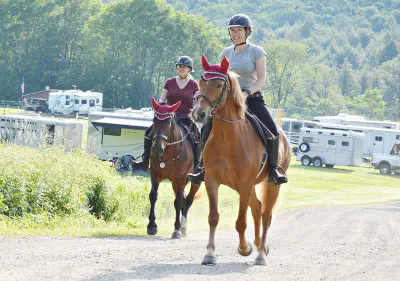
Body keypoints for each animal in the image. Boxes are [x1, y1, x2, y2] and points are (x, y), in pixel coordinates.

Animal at [148, 97, 200, 237]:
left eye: (168, 122)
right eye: (154, 120)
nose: (157, 149)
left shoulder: (180, 178)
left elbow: (178, 202)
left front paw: (177, 229)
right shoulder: (155, 174)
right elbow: (153, 196)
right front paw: (152, 226)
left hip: (194, 181)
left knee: (187, 200)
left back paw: (183, 227)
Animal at [191, 55, 290, 264]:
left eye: (219, 84)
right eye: (201, 82)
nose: (198, 114)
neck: (229, 139)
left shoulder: (245, 183)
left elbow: (241, 222)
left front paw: (245, 249)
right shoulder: (211, 180)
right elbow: (213, 217)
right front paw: (210, 254)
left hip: (271, 185)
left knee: (266, 214)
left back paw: (261, 254)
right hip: (249, 186)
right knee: (257, 208)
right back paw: (260, 245)